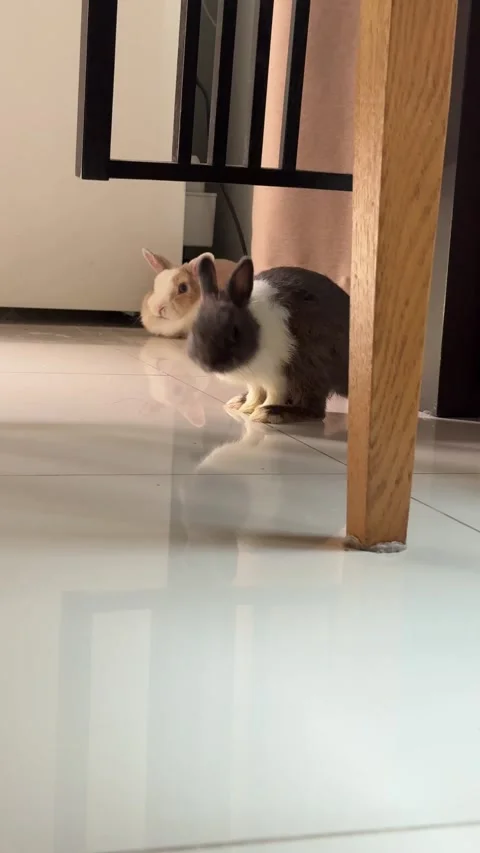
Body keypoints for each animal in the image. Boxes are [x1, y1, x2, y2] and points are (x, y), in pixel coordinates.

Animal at [187, 255, 349, 424]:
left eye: (235, 332)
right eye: (194, 327)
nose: (209, 365)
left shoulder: (277, 376)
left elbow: (273, 395)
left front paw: (261, 411)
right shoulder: (255, 380)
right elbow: (255, 393)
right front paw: (247, 407)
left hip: (311, 366)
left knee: (314, 409)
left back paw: (273, 412)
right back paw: (239, 401)